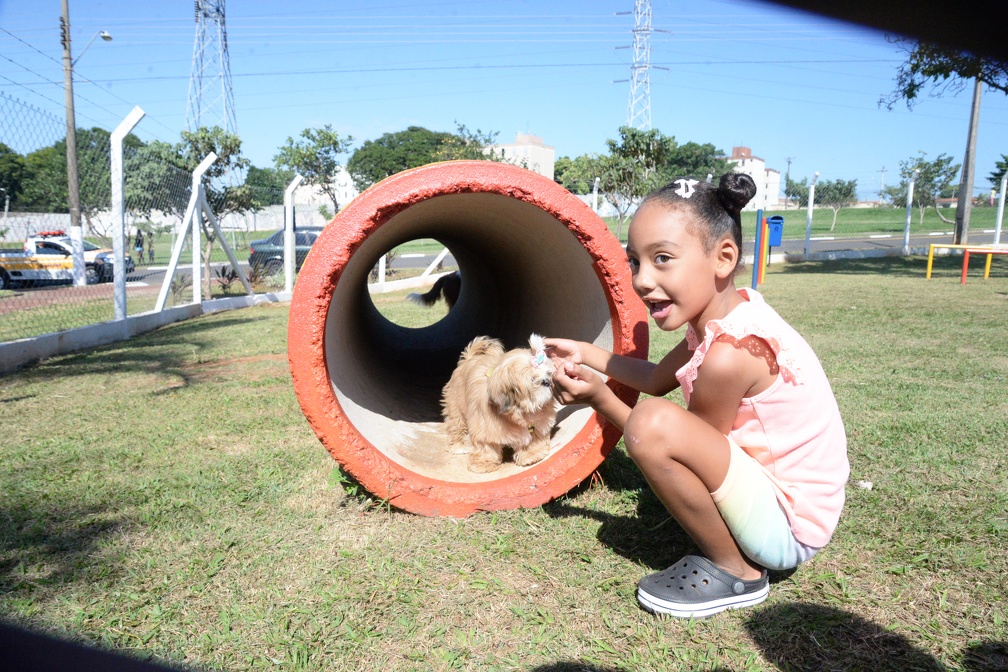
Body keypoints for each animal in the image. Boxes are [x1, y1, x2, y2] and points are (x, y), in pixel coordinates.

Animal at [443, 332, 560, 473]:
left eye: (548, 373)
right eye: (532, 380)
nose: (547, 381)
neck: (519, 410)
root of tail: (468, 359)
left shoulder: (538, 424)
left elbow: (533, 438)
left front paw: (531, 454)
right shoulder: (485, 428)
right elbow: (486, 446)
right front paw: (483, 464)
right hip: (455, 406)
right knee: (456, 425)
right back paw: (458, 446)